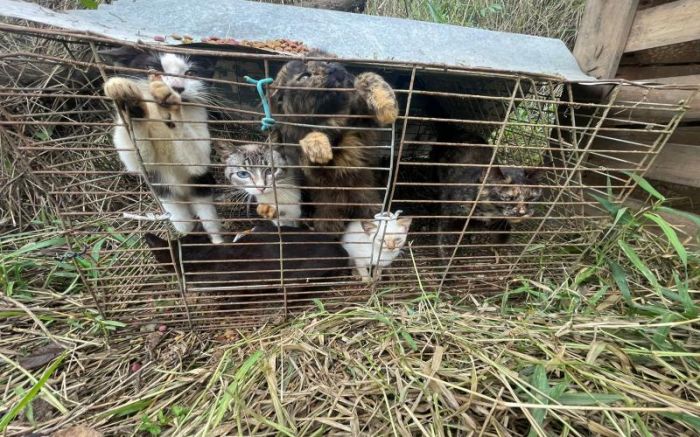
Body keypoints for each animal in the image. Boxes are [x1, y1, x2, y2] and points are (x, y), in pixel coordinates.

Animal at [100, 51, 221, 244]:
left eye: (190, 73)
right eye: (152, 69)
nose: (177, 87)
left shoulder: (200, 135)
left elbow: (198, 162)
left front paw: (171, 107)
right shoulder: (142, 163)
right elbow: (137, 159)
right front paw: (128, 99)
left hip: (201, 191)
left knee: (210, 223)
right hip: (170, 202)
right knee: (186, 224)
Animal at [270, 52, 400, 235]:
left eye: (326, 61)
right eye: (305, 76)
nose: (331, 69)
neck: (335, 122)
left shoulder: (363, 124)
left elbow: (367, 76)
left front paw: (387, 109)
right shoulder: (319, 173)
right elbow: (309, 140)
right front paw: (318, 146)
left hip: (369, 202)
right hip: (329, 216)